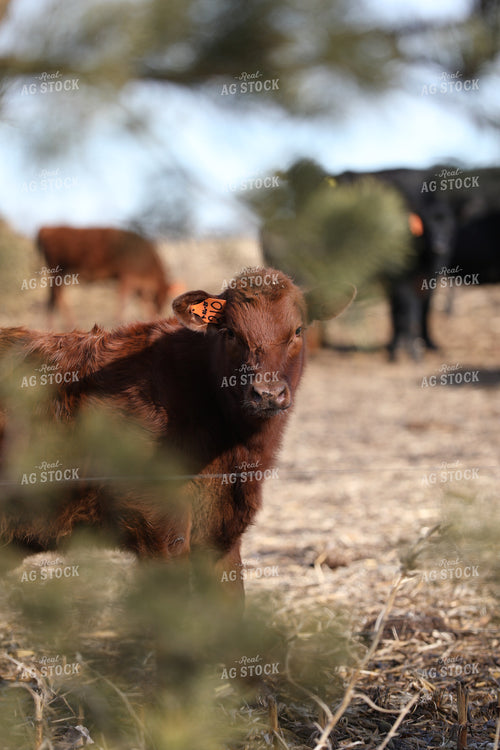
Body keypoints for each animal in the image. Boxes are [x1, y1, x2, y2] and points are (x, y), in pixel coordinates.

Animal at [36, 226, 173, 327]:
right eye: (162, 297)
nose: (159, 313)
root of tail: (47, 228)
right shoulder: (127, 278)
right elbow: (123, 303)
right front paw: (120, 322)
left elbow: (142, 303)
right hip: (58, 273)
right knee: (57, 296)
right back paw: (70, 324)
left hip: (60, 275)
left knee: (53, 298)